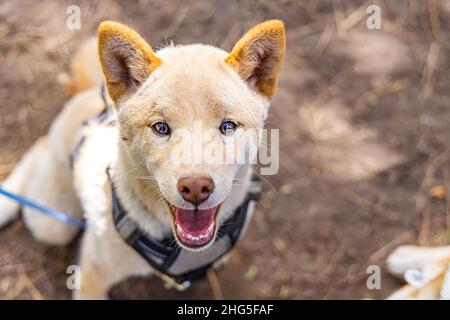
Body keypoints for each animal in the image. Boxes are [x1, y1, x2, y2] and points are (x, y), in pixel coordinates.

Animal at [0, 21, 284, 298]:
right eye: (161, 128)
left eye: (228, 126)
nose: (195, 188)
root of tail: (91, 96)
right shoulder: (91, 276)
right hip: (52, 223)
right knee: (39, 148)